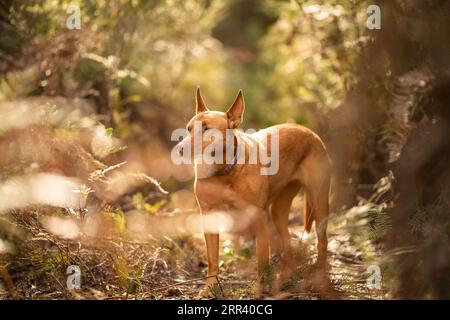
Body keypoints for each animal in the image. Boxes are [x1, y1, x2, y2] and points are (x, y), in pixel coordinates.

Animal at [176, 87, 330, 296]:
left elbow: (262, 260)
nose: (179, 149)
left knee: (322, 241)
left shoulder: (259, 218)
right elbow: (212, 260)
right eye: (189, 128)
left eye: (207, 129)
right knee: (287, 239)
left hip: (319, 202)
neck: (224, 171)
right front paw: (209, 288)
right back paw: (286, 275)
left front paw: (260, 288)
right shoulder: (209, 217)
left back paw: (319, 275)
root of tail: (309, 131)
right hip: (279, 210)